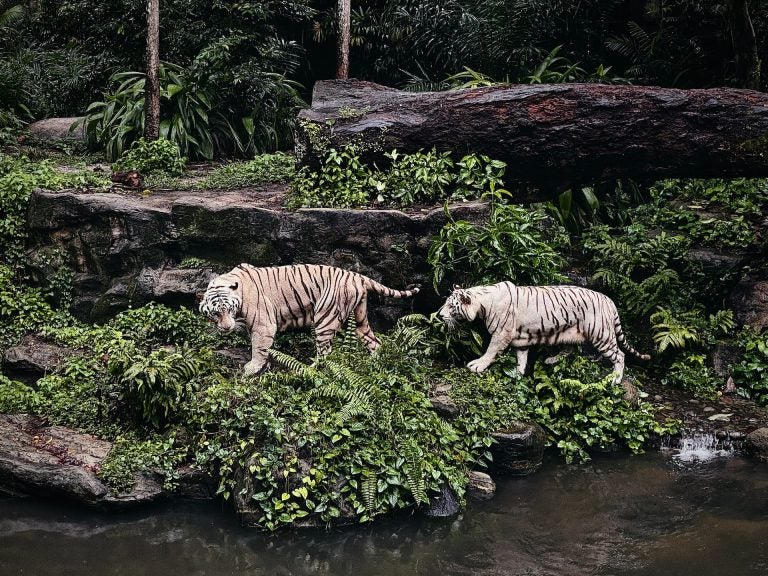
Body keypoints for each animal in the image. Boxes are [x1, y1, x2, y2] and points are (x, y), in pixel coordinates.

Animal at [199, 263, 420, 375]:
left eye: (229, 309)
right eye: (216, 313)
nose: (226, 328)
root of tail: (357, 276)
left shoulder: (263, 324)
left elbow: (259, 347)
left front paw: (252, 367)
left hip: (325, 318)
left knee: (325, 352)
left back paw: (308, 370)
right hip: (359, 318)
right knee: (374, 341)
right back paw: (375, 364)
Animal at [437, 282, 650, 383]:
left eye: (451, 305)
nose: (439, 315)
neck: (482, 303)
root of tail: (609, 300)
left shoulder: (501, 334)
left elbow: (490, 351)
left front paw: (477, 365)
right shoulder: (520, 340)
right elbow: (521, 358)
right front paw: (518, 375)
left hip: (601, 334)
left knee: (620, 355)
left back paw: (615, 378)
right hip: (571, 332)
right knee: (571, 350)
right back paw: (551, 360)